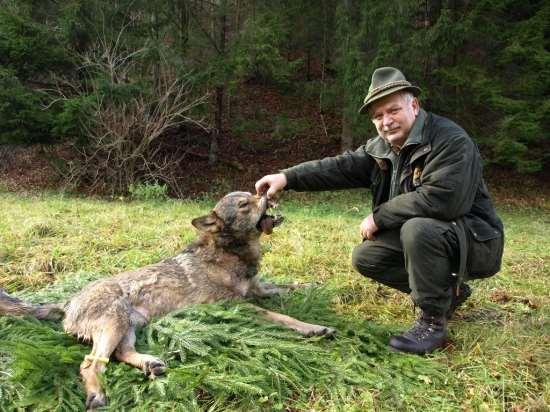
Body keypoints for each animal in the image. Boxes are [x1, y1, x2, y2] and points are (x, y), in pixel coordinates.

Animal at [0, 192, 334, 408]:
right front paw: (313, 328)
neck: (230, 251)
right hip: (115, 321)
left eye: (254, 194)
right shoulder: (239, 306)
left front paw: (315, 287)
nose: (269, 193)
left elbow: (289, 287)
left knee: (121, 354)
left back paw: (151, 365)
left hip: (129, 326)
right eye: (244, 204)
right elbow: (282, 317)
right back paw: (97, 396)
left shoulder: (259, 290)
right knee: (91, 363)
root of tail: (68, 303)